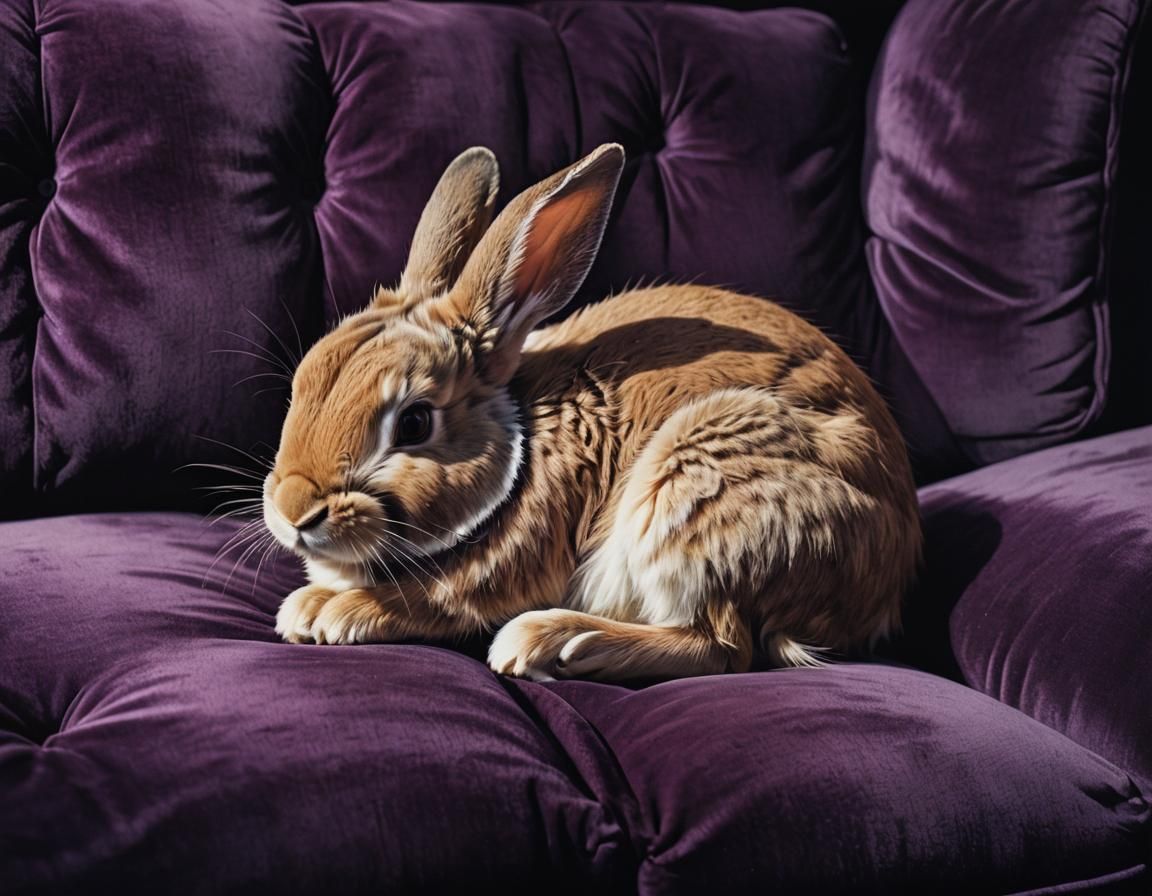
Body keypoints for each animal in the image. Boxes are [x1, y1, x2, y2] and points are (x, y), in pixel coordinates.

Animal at [262, 143, 922, 681]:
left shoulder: (500, 571)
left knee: (723, 645)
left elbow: (431, 600)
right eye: (303, 381)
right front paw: (310, 605)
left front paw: (328, 611)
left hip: (700, 487)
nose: (294, 511)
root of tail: (888, 581)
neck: (521, 452)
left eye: (415, 422)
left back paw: (555, 641)